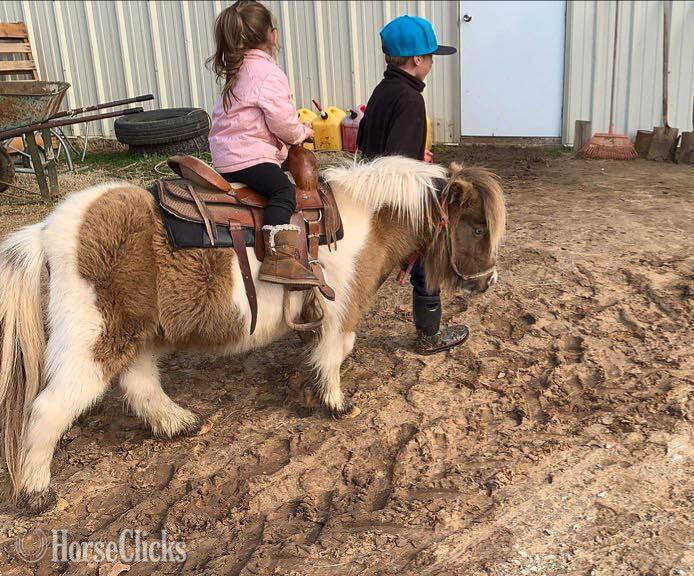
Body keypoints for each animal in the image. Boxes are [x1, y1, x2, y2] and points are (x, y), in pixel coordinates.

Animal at [0, 155, 505, 515]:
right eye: (477, 227)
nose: (488, 282)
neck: (363, 220)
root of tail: (47, 230)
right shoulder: (342, 311)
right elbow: (337, 351)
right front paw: (336, 403)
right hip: (94, 339)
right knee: (48, 409)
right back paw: (36, 493)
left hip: (135, 335)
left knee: (140, 384)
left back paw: (179, 423)